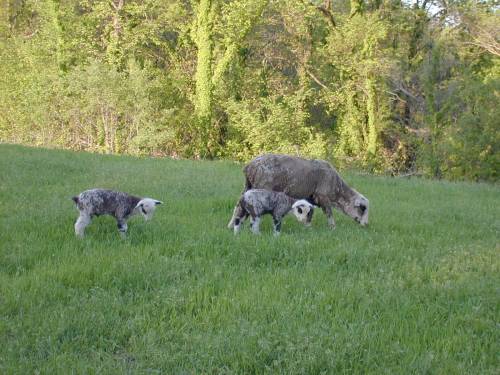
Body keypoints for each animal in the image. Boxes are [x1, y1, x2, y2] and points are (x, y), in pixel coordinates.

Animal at [229, 154, 370, 231]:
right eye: (363, 208)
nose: (366, 225)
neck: (338, 191)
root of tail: (249, 167)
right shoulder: (323, 196)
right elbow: (329, 213)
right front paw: (333, 228)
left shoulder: (309, 198)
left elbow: (310, 213)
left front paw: (308, 227)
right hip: (259, 188)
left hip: (247, 186)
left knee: (238, 206)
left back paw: (232, 226)